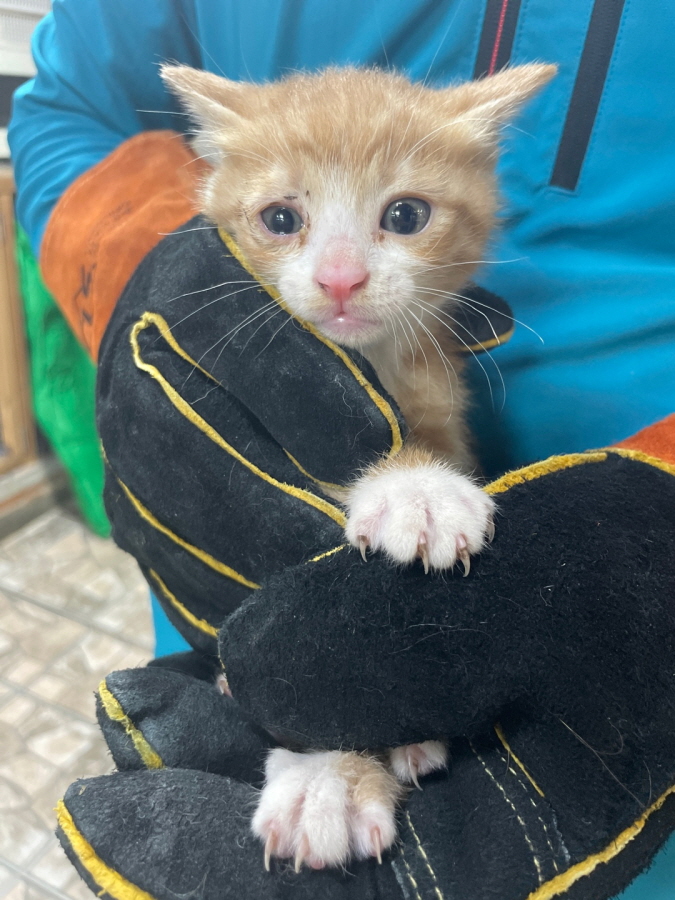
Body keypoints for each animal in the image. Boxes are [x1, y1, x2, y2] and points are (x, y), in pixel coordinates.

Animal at [162, 61, 556, 872]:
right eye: (280, 219)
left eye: (405, 215)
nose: (340, 279)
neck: (364, 364)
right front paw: (326, 779)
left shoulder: (437, 393)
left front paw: (418, 488)